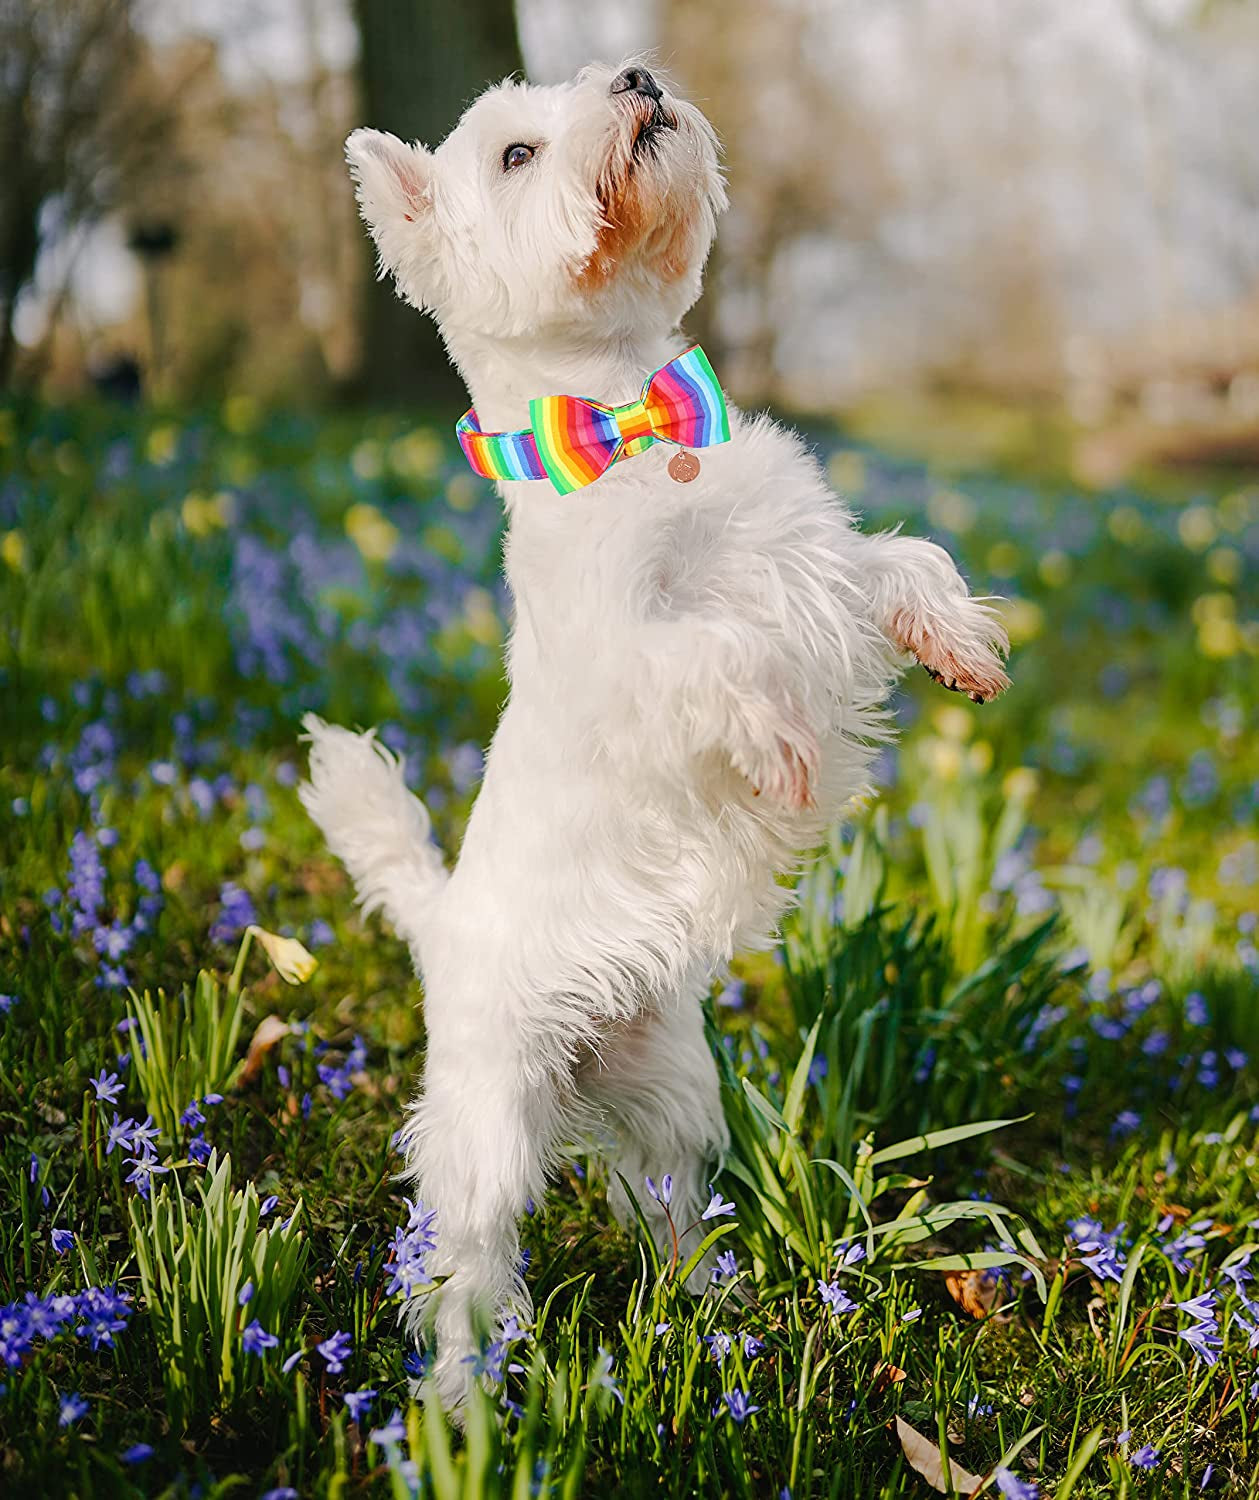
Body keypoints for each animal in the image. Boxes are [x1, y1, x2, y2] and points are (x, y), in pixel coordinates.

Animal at [300, 58, 1008, 1410]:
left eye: (584, 81)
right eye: (515, 152)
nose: (635, 77)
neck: (637, 423)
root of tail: (443, 929)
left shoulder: (817, 567)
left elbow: (904, 558)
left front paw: (959, 645)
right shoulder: (635, 653)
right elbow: (723, 662)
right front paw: (783, 751)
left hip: (675, 1087)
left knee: (666, 1207)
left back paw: (714, 1318)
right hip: (489, 1125)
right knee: (467, 1269)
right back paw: (463, 1403)